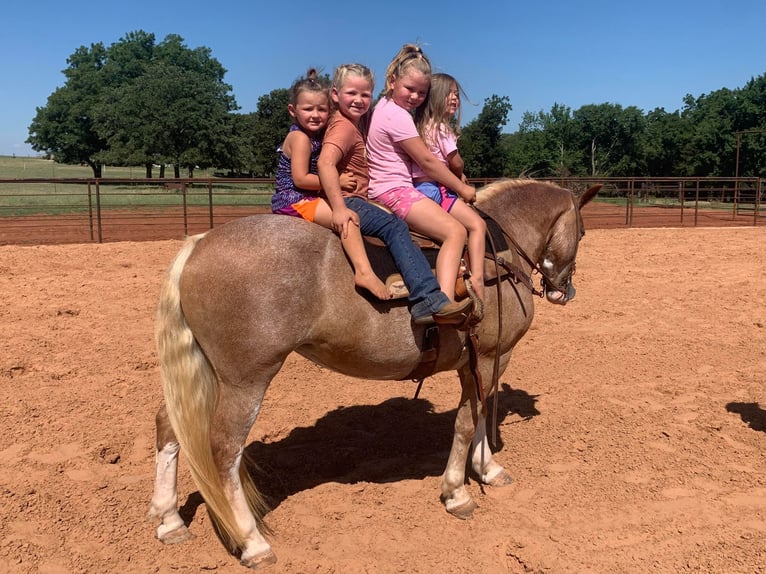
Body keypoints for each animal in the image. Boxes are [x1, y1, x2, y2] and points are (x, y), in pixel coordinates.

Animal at [148, 178, 600, 568]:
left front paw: (487, 469)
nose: (564, 290)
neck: (495, 256)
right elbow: (468, 421)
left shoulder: (478, 362)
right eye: (581, 233)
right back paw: (252, 542)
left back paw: (170, 520)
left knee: (169, 426)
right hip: (245, 380)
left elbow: (477, 413)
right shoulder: (492, 356)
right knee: (224, 449)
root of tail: (200, 244)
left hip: (205, 372)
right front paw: (457, 491)